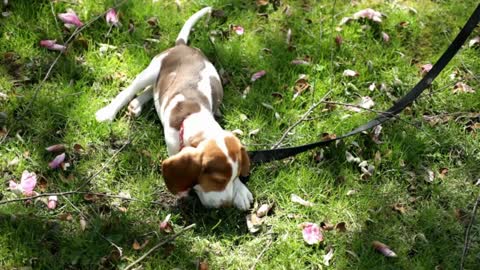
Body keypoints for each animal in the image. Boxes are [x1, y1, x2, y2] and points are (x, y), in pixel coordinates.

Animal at [94, 5, 255, 209]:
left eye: (234, 177)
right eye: (217, 180)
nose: (224, 205)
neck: (195, 116)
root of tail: (182, 46)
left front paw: (240, 190)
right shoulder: (172, 146)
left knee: (153, 89)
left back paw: (137, 105)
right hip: (152, 69)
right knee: (132, 89)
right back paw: (109, 111)